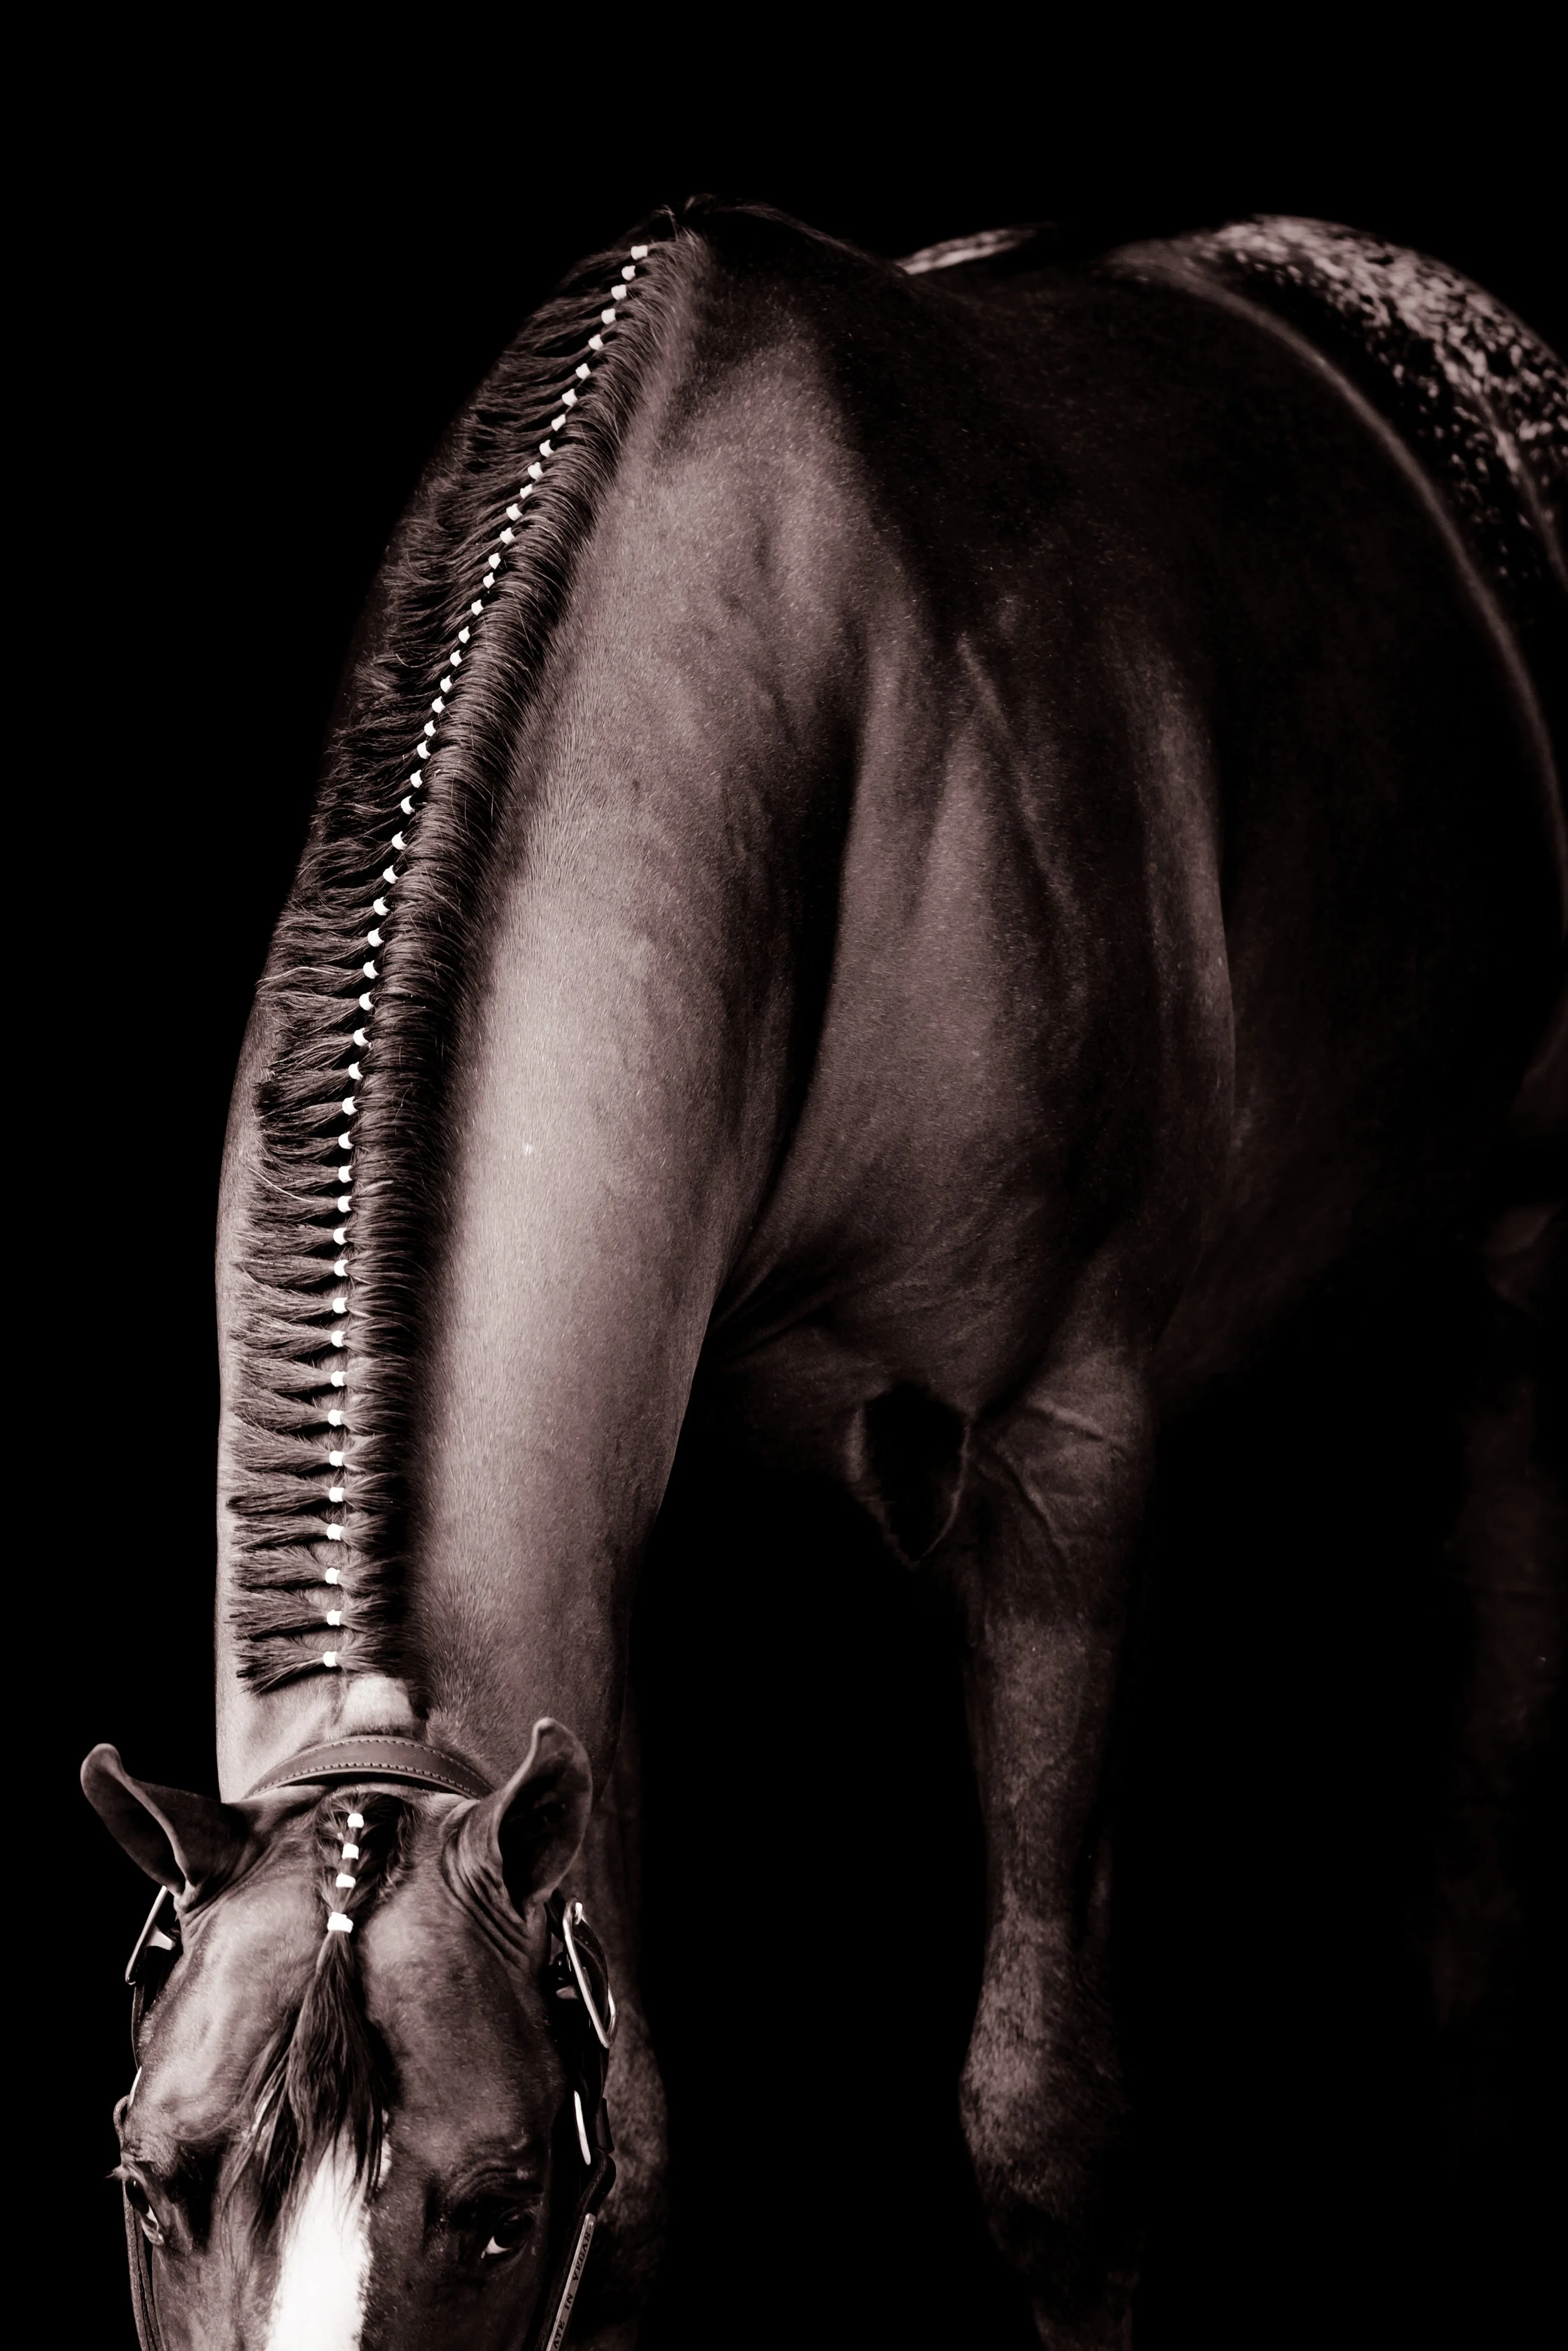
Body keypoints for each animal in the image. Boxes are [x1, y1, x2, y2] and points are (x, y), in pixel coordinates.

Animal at [83, 200, 1565, 2349]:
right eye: (149, 2177)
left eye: (493, 2199)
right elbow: (652, 2143)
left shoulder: (1054, 1466)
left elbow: (1050, 2136)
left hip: (1507, 1286)